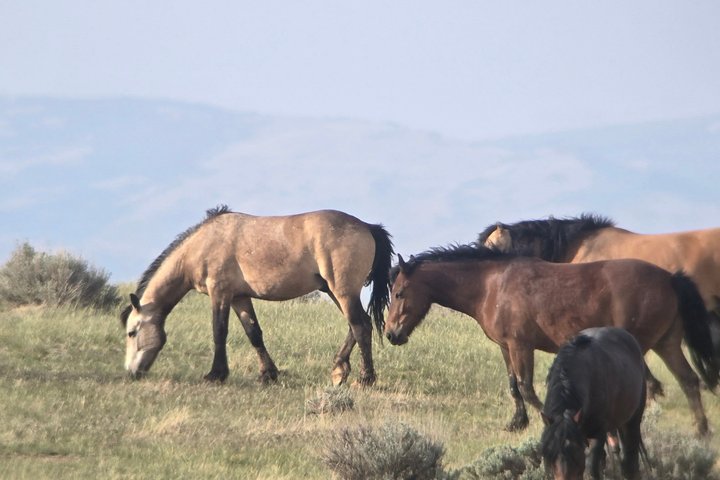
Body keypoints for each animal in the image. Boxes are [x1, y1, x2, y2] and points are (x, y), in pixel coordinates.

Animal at [120, 206, 394, 386]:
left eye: (132, 332)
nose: (131, 372)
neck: (203, 244)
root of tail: (367, 227)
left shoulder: (220, 293)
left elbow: (219, 331)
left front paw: (216, 374)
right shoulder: (239, 297)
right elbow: (254, 334)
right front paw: (268, 374)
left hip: (343, 291)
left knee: (360, 326)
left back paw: (365, 378)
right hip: (335, 291)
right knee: (357, 325)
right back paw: (339, 370)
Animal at [383, 245, 717, 435]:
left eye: (399, 293)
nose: (390, 334)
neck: (492, 285)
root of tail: (669, 278)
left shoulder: (521, 346)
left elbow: (527, 388)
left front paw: (551, 420)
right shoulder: (506, 347)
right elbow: (514, 386)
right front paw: (516, 423)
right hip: (667, 344)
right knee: (689, 381)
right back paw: (700, 430)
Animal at [541, 327, 647, 480]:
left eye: (575, 452)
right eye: (549, 454)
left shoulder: (598, 433)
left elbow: (592, 467)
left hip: (633, 418)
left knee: (630, 458)